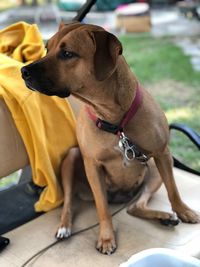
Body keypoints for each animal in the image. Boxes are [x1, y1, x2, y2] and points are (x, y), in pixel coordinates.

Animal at [21, 21, 199, 255]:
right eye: (47, 48)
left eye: (67, 54)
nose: (23, 71)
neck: (113, 119)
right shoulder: (93, 166)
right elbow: (102, 208)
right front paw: (106, 237)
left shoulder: (162, 154)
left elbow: (173, 189)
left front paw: (183, 211)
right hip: (72, 158)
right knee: (68, 203)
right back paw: (64, 227)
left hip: (152, 169)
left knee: (135, 207)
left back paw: (164, 216)